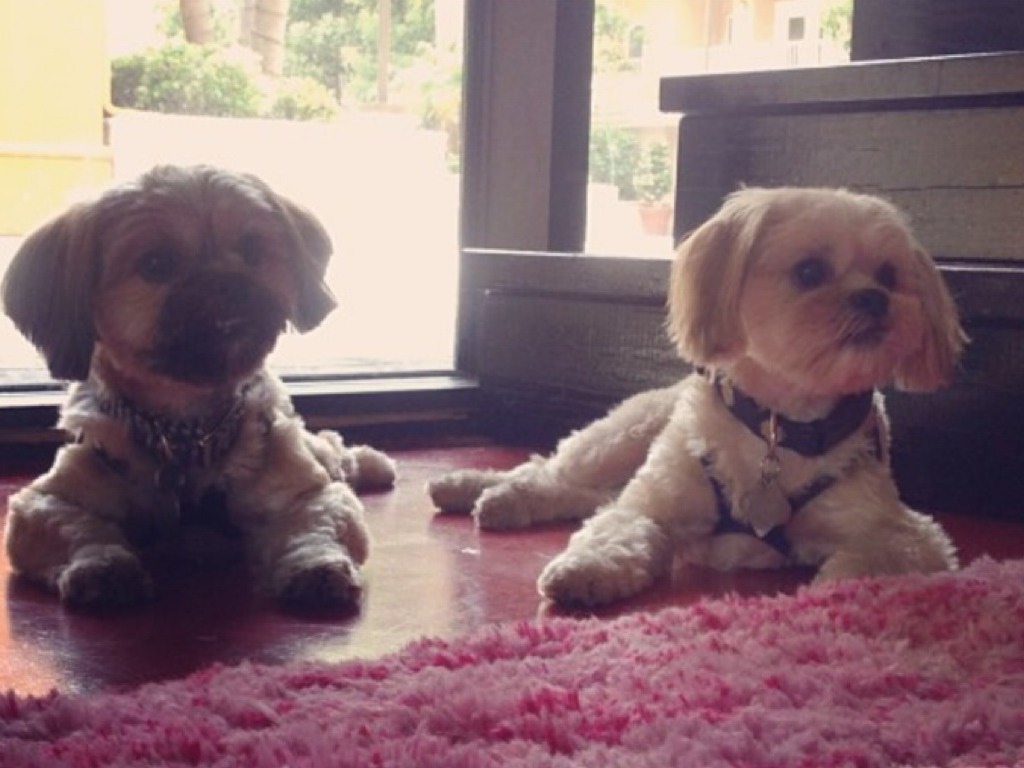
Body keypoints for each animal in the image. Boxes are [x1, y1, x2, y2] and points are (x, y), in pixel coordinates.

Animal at [2, 165, 396, 613]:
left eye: (252, 250)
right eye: (156, 263)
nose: (228, 283)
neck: (185, 434)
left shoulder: (310, 490)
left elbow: (314, 523)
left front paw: (318, 567)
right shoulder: (42, 502)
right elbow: (79, 528)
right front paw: (103, 565)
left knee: (335, 451)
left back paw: (371, 463)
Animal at [429, 187, 967, 607]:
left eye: (890, 275)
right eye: (810, 271)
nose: (875, 299)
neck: (778, 425)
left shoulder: (904, 533)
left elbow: (864, 563)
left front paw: (833, 593)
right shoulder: (651, 504)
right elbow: (615, 531)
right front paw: (585, 570)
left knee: (577, 491)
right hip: (618, 440)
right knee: (548, 470)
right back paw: (478, 488)